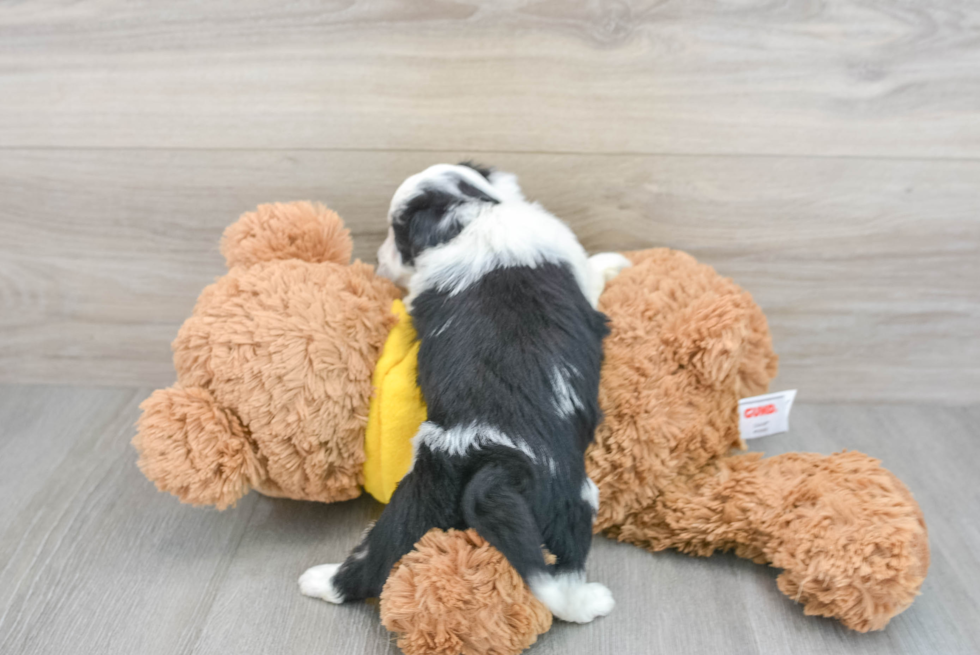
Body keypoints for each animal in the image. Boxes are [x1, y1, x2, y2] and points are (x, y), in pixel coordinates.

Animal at [298, 161, 632, 624]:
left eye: (397, 237)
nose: (379, 263)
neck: (476, 212)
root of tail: (488, 457)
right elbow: (593, 271)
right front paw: (615, 262)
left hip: (421, 495)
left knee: (375, 558)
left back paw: (317, 581)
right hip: (570, 496)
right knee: (561, 578)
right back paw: (592, 602)